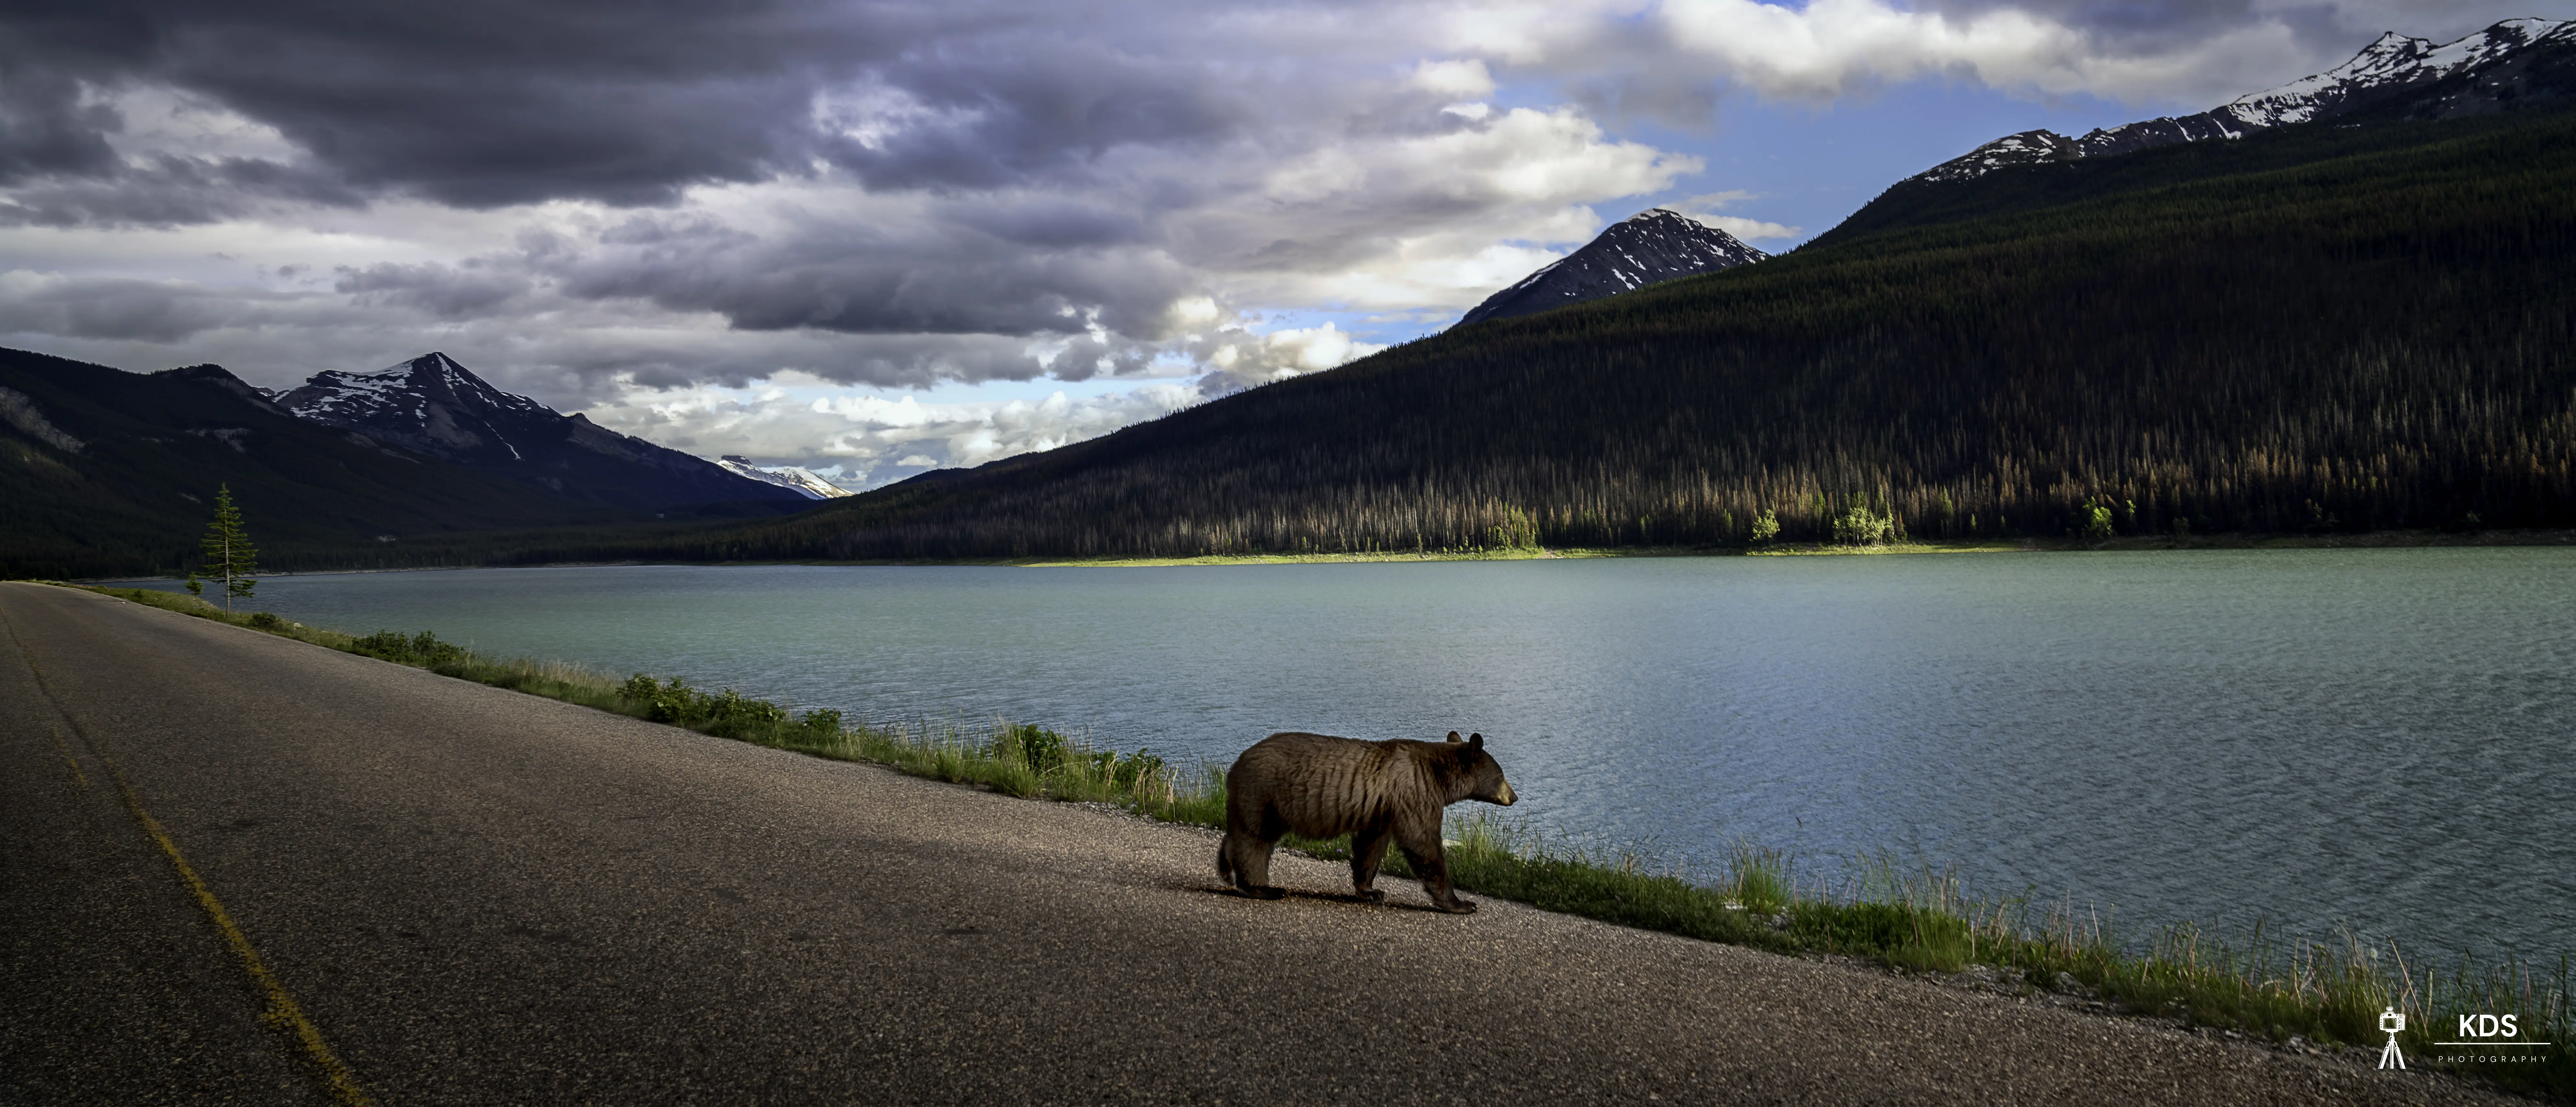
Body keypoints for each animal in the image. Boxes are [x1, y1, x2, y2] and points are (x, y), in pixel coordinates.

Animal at [1216, 729, 1516, 913]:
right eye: (1502, 775)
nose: (1514, 797)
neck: (1440, 776)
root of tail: (1235, 764)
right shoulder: (1415, 792)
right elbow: (1422, 842)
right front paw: (1462, 904)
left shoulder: (1382, 810)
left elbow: (1371, 846)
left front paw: (1371, 891)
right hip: (1266, 793)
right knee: (1256, 840)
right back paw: (1262, 888)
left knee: (1239, 834)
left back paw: (1226, 870)